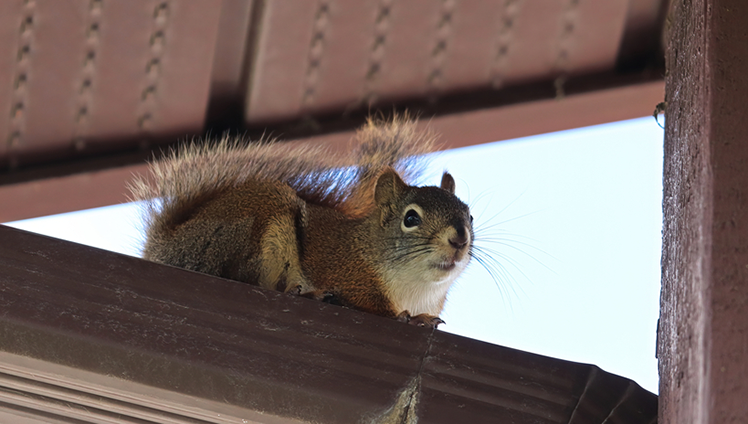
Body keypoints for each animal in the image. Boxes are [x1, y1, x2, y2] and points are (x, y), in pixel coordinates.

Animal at [131, 116, 474, 328]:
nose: (460, 238)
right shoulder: (350, 274)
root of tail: (167, 247)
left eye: (469, 215)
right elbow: (372, 305)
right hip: (250, 230)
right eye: (410, 218)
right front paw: (410, 319)